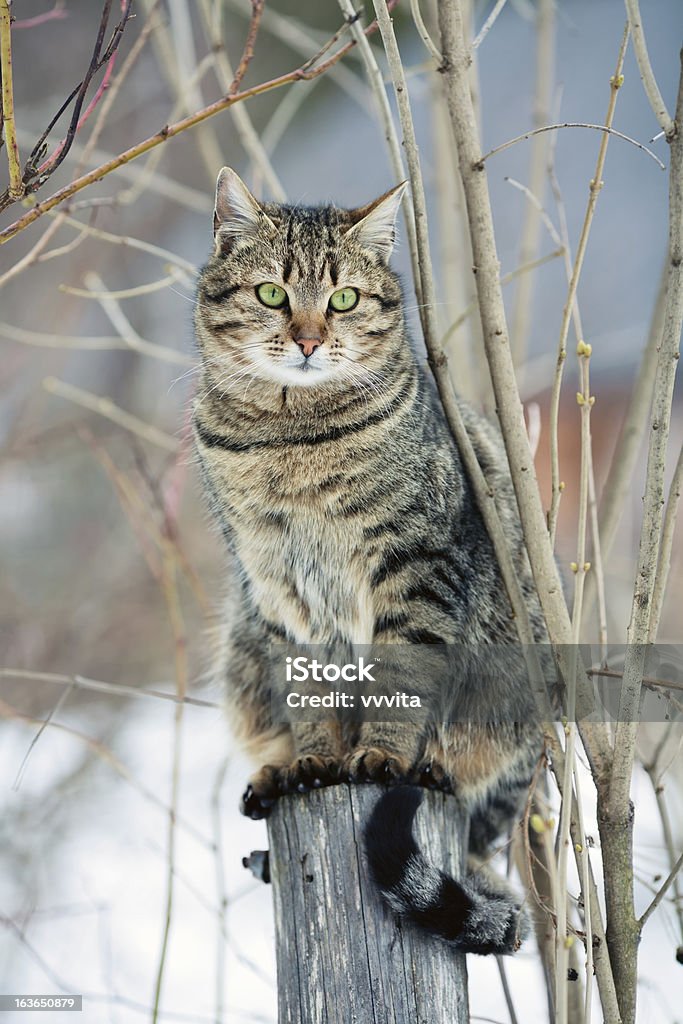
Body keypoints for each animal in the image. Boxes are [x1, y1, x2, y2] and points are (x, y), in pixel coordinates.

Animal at [194, 163, 548, 954]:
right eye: (272, 294)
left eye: (343, 299)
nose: (307, 340)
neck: (289, 438)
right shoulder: (277, 587)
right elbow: (309, 694)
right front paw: (313, 760)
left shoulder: (417, 563)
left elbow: (401, 675)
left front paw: (381, 754)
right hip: (239, 646)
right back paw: (273, 776)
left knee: (478, 807)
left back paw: (440, 772)